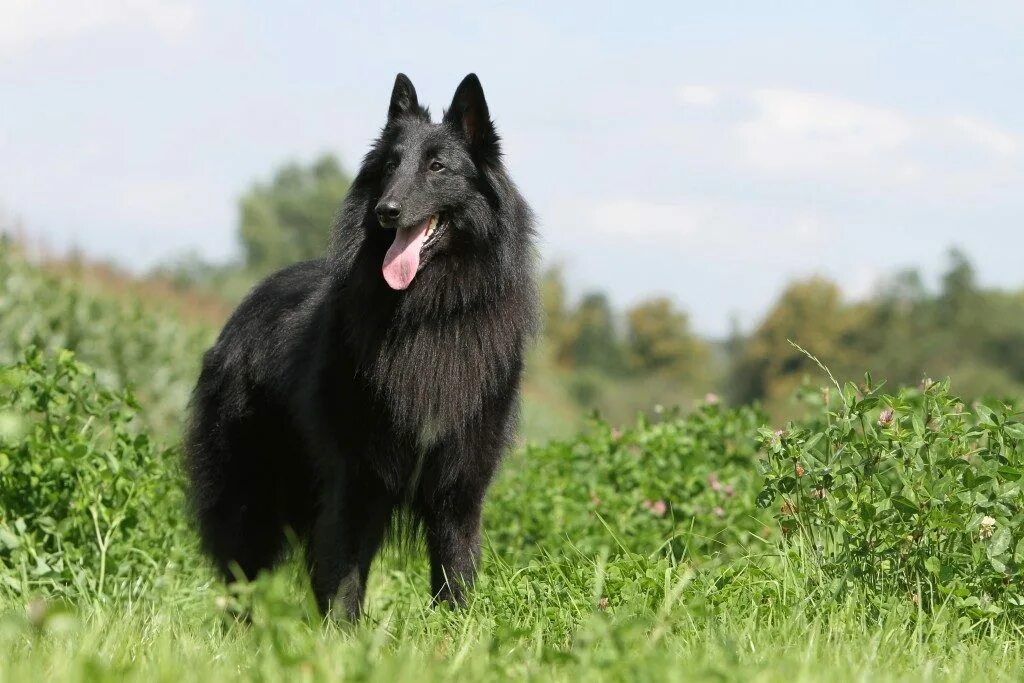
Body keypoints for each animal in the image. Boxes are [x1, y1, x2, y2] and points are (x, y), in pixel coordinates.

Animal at [184, 74, 536, 618]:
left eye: (437, 167)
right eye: (390, 165)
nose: (386, 210)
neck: (426, 316)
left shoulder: (459, 485)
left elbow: (454, 573)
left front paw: (456, 632)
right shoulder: (354, 479)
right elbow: (344, 578)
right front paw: (343, 637)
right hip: (249, 495)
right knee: (241, 575)